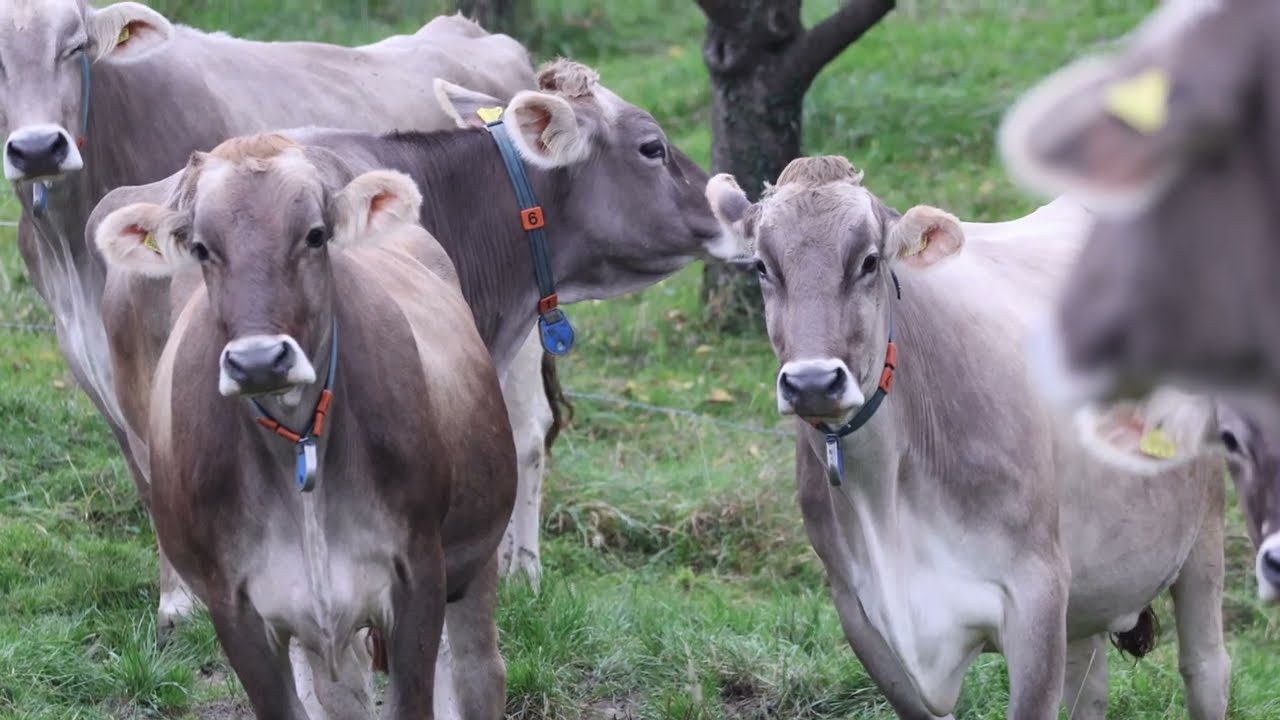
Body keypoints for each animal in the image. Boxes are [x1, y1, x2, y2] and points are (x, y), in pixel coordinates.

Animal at [0, 0, 560, 636]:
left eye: (74, 47)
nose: (37, 149)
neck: (73, 247)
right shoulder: (93, 362)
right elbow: (148, 476)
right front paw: (176, 600)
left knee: (527, 431)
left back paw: (521, 568)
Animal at [94, 134, 516, 720]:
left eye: (315, 235)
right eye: (201, 248)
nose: (257, 361)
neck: (298, 440)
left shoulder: (420, 577)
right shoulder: (237, 607)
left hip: (473, 559)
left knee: (478, 673)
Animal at [705, 156, 1229, 720]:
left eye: (869, 261)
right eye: (762, 267)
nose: (812, 382)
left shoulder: (1037, 590)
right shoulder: (858, 611)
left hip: (1203, 530)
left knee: (1206, 668)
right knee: (1089, 686)